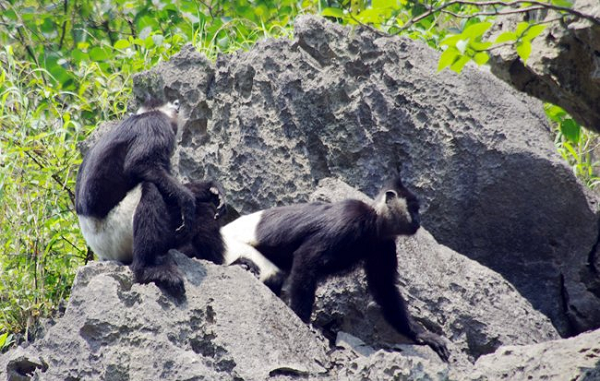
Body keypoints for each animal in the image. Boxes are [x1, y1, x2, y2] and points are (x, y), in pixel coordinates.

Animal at [74, 96, 220, 296]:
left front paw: (209, 190)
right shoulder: (155, 124)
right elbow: (141, 164)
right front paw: (187, 198)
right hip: (117, 234)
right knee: (150, 190)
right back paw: (149, 271)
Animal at [220, 177, 450, 360]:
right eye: (413, 208)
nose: (418, 220)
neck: (373, 223)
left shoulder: (383, 245)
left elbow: (384, 288)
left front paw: (422, 336)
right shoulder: (349, 219)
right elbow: (306, 258)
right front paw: (301, 321)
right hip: (231, 246)